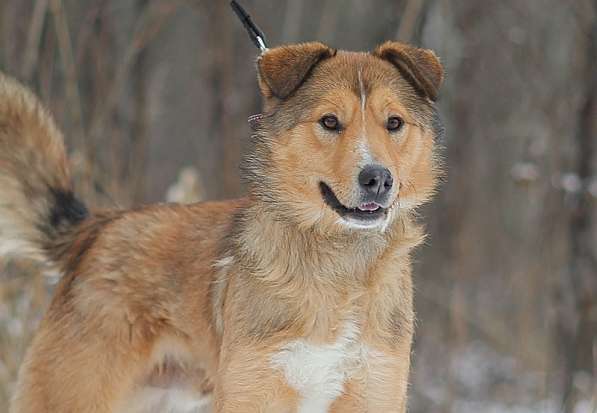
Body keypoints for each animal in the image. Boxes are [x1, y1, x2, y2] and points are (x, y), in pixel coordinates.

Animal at [1, 41, 442, 412]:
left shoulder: (373, 388)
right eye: (330, 122)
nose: (378, 179)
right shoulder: (255, 389)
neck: (340, 263)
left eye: (394, 123)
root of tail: (99, 227)